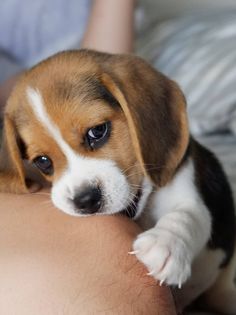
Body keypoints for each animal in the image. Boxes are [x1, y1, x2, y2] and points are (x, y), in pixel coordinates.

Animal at [0, 50, 236, 314]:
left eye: (97, 131)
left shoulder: (188, 192)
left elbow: (187, 216)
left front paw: (165, 244)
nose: (85, 200)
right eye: (42, 161)